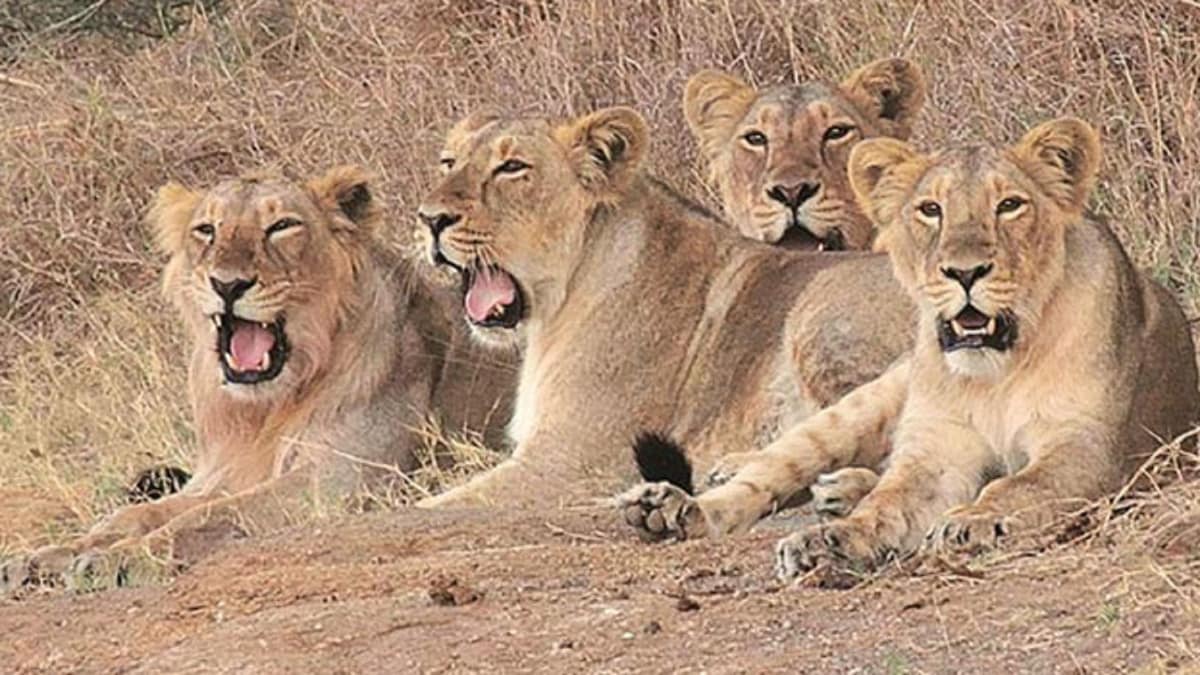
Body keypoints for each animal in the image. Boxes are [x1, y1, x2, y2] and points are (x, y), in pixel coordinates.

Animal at [2, 166, 513, 589]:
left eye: (282, 226)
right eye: (206, 230)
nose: (227, 284)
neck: (265, 408)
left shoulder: (345, 479)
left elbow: (207, 516)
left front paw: (120, 560)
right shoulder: (221, 473)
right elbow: (137, 513)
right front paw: (46, 557)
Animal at [411, 106, 913, 509]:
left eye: (512, 167)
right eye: (448, 162)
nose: (430, 219)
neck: (558, 303)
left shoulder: (572, 462)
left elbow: (432, 506)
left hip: (820, 311)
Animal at [618, 118, 1199, 580]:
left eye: (1010, 205)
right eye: (930, 210)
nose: (964, 272)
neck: (998, 368)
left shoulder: (1086, 444)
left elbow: (1020, 486)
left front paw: (971, 520)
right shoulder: (937, 448)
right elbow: (888, 503)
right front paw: (828, 544)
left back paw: (835, 490)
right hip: (862, 403)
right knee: (768, 473)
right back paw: (674, 508)